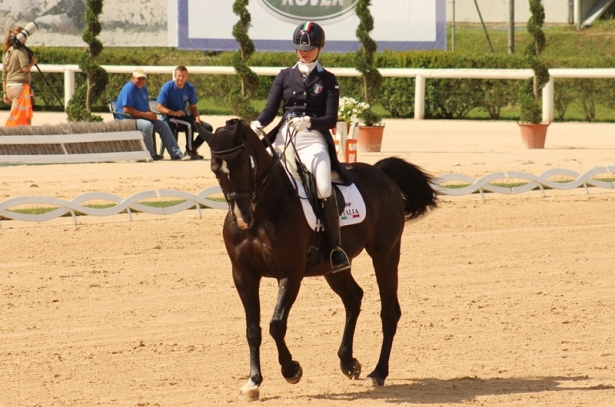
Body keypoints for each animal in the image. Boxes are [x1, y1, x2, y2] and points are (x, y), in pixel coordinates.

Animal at [205, 119, 440, 400]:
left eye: (244, 165)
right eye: (215, 170)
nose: (242, 218)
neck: (263, 211)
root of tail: (379, 173)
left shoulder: (290, 274)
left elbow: (276, 324)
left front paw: (291, 370)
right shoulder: (243, 275)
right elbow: (253, 329)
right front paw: (253, 382)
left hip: (385, 254)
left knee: (389, 311)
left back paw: (378, 372)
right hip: (333, 268)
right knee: (353, 297)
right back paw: (348, 362)